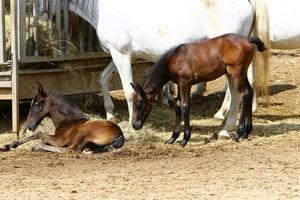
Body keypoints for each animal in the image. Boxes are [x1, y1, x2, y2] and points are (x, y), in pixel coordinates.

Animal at [130, 33, 266, 147]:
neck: (173, 59)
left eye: (139, 103)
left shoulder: (185, 83)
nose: (135, 125)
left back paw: (238, 133)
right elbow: (178, 106)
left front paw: (185, 139)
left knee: (244, 94)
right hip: (238, 74)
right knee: (249, 92)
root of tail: (247, 39)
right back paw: (247, 132)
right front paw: (172, 138)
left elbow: (185, 107)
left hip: (237, 74)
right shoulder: (181, 84)